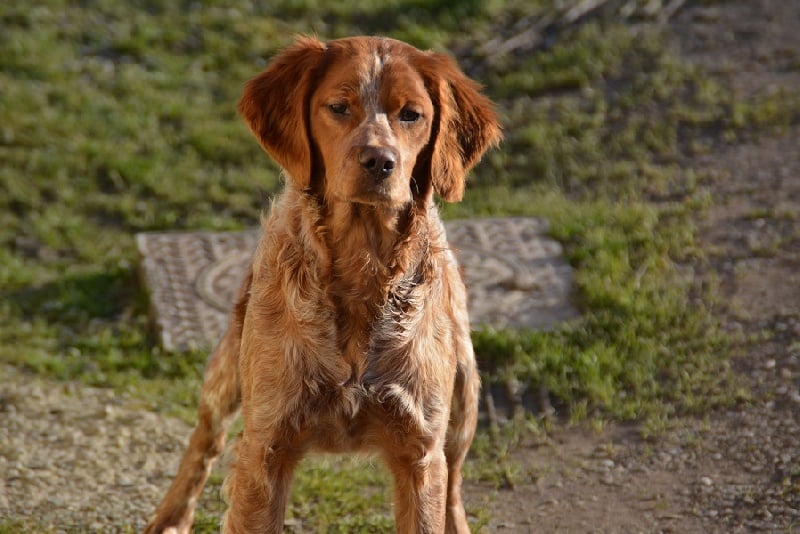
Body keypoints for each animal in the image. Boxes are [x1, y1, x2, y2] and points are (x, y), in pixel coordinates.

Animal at [144, 35, 500, 532]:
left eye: (411, 114)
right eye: (338, 106)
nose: (379, 161)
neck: (361, 270)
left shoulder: (421, 452)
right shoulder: (266, 448)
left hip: (464, 403)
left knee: (454, 485)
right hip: (226, 373)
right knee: (204, 441)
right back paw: (170, 516)